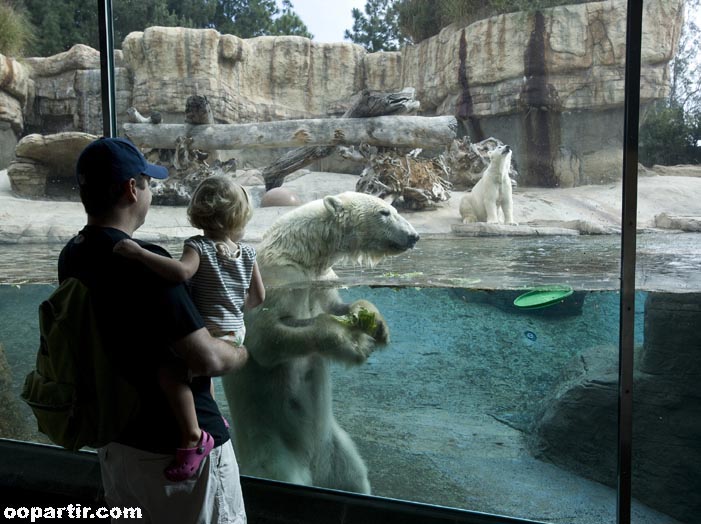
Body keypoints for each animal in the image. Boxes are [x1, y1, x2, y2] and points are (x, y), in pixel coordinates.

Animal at [221, 190, 418, 494]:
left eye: (393, 209)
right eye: (384, 212)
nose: (413, 236)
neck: (304, 252)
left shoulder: (323, 279)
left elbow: (338, 306)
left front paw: (376, 326)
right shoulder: (278, 280)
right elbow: (266, 338)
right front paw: (353, 345)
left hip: (336, 449)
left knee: (354, 477)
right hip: (273, 452)